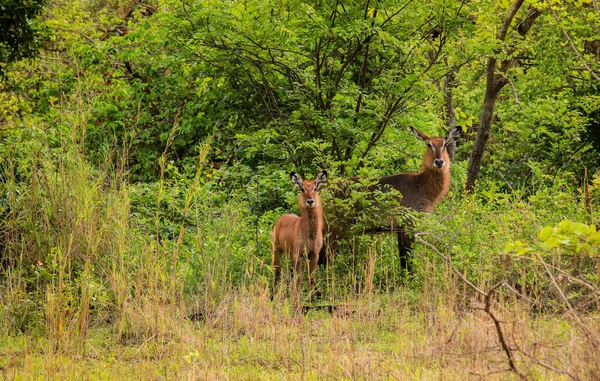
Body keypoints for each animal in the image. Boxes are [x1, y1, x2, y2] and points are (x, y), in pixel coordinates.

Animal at [324, 126, 460, 272]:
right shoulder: (407, 224)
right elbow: (407, 260)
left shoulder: (399, 229)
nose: (439, 161)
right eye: (429, 144)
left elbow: (403, 259)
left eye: (445, 144)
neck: (420, 184)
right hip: (335, 228)